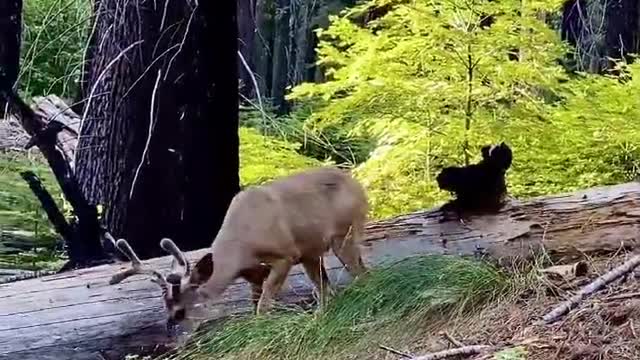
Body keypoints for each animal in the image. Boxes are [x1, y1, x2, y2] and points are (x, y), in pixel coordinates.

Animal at [109, 166, 370, 326]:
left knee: (360, 274)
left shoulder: (286, 255)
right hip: (312, 253)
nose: (170, 325)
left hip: (343, 234)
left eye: (181, 310)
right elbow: (255, 304)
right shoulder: (252, 273)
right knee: (329, 287)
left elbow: (263, 305)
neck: (240, 249)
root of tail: (358, 185)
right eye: (165, 307)